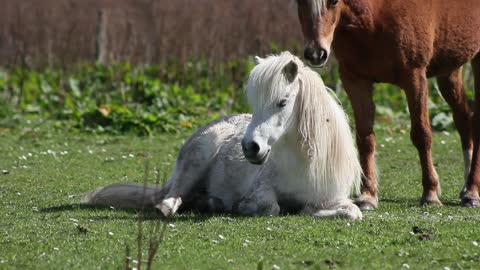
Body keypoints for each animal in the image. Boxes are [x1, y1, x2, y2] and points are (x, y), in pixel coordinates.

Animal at [85, 52, 364, 219]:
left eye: (282, 102)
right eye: (254, 103)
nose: (250, 147)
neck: (304, 164)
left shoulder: (334, 198)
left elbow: (352, 212)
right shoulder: (261, 191)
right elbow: (271, 207)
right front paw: (243, 206)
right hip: (197, 160)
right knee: (170, 199)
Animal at [296, 0, 480, 209]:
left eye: (334, 2)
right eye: (299, 2)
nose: (315, 54)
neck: (374, 17)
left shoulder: (414, 77)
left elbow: (421, 134)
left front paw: (430, 193)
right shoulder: (355, 81)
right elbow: (365, 138)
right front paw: (367, 195)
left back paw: (472, 192)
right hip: (450, 69)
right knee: (464, 119)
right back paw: (466, 187)